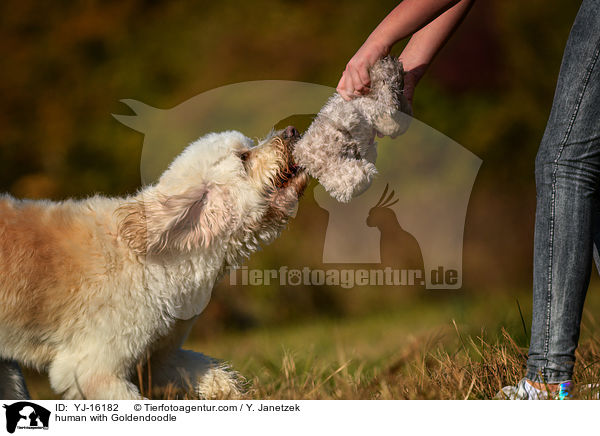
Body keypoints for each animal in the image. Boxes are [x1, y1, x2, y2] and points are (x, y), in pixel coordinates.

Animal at [0, 125, 308, 398]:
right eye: (243, 157)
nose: (292, 131)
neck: (167, 253)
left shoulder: (159, 357)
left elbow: (216, 379)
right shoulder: (92, 369)